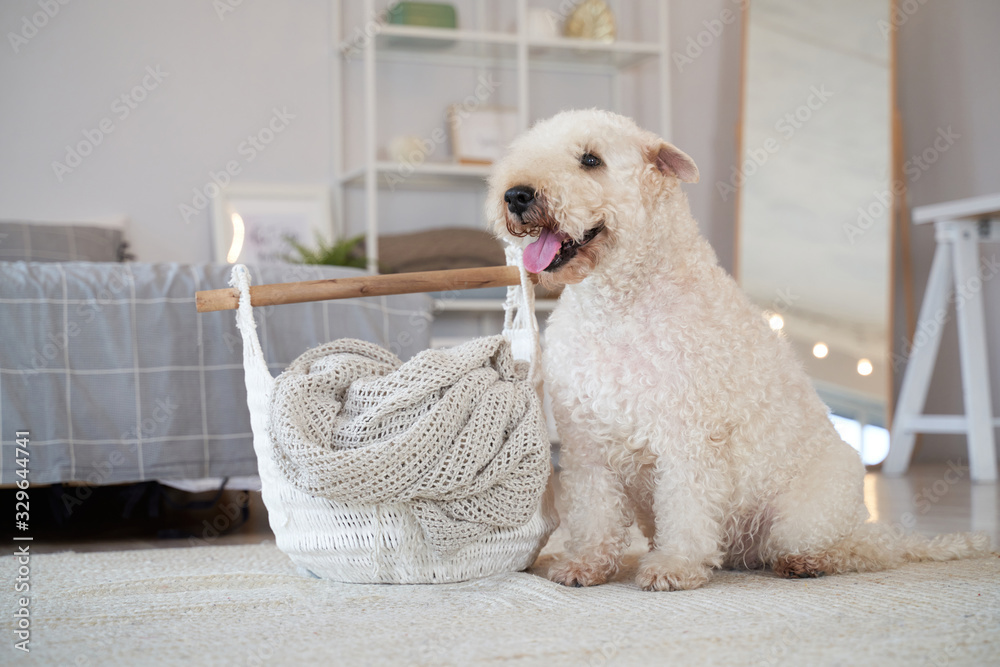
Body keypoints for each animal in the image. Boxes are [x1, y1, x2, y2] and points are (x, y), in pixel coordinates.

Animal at [486, 108, 992, 588]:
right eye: (528, 150)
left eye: (591, 160)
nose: (517, 195)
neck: (618, 306)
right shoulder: (587, 444)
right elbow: (595, 514)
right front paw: (585, 563)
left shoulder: (686, 438)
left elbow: (686, 509)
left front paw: (674, 566)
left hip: (803, 516)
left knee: (868, 547)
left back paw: (811, 562)